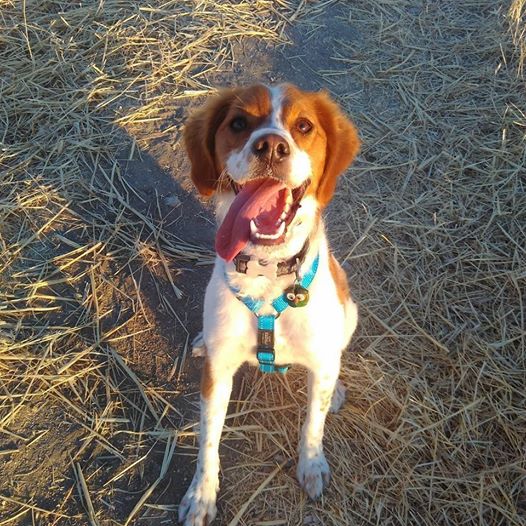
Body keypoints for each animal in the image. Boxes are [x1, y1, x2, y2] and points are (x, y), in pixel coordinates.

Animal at [179, 84, 360, 524]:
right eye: (239, 123)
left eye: (304, 126)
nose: (272, 146)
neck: (267, 272)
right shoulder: (217, 374)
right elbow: (208, 438)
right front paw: (201, 495)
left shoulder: (319, 361)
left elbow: (312, 423)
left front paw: (311, 465)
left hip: (350, 313)